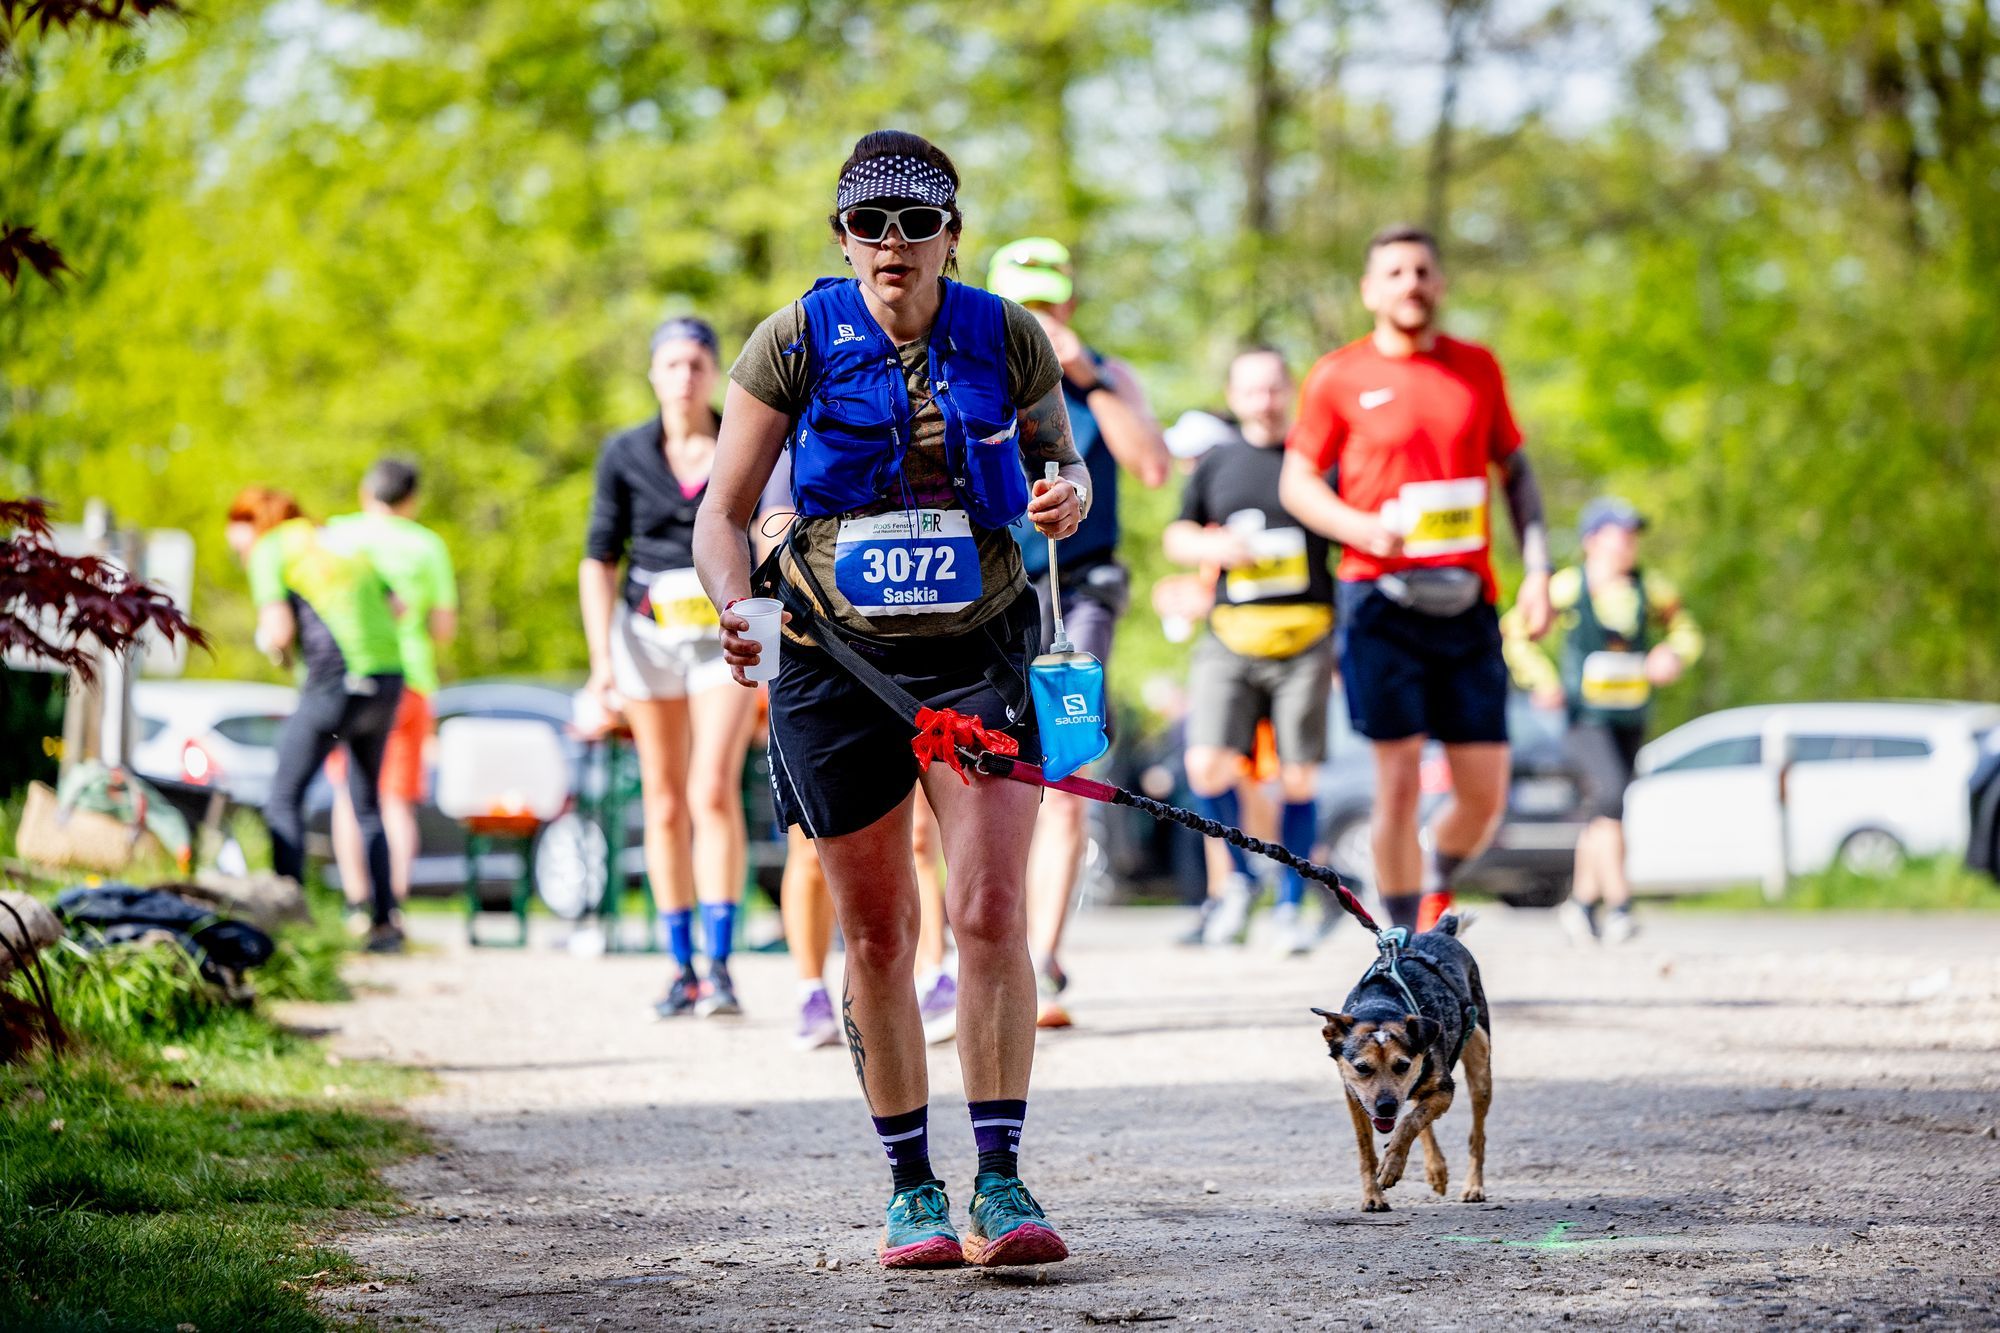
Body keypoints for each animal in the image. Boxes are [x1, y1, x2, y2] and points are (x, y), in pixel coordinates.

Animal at [1304, 912, 1496, 1200]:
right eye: (1362, 1067)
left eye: (1402, 1065)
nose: (1386, 1107)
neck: (1381, 1007)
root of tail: (1438, 932)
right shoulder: (1355, 1097)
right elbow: (1366, 1148)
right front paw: (1373, 1197)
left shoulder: (1444, 1089)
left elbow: (1409, 1122)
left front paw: (1391, 1166)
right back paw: (1436, 1170)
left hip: (1480, 1061)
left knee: (1476, 1133)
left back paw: (1473, 1186)